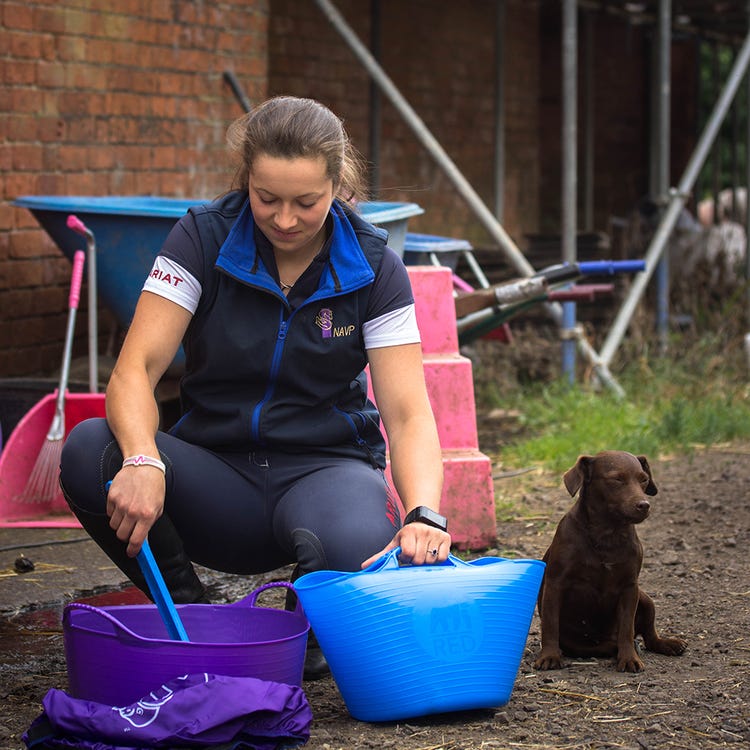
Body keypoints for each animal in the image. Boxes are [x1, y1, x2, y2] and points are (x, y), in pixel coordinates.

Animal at [536, 452, 688, 676]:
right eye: (616, 479)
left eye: (643, 479)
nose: (644, 505)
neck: (607, 533)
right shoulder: (555, 584)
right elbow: (550, 624)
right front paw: (549, 656)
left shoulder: (630, 588)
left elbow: (626, 628)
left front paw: (628, 658)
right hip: (580, 643)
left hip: (645, 599)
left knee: (648, 636)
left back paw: (664, 644)